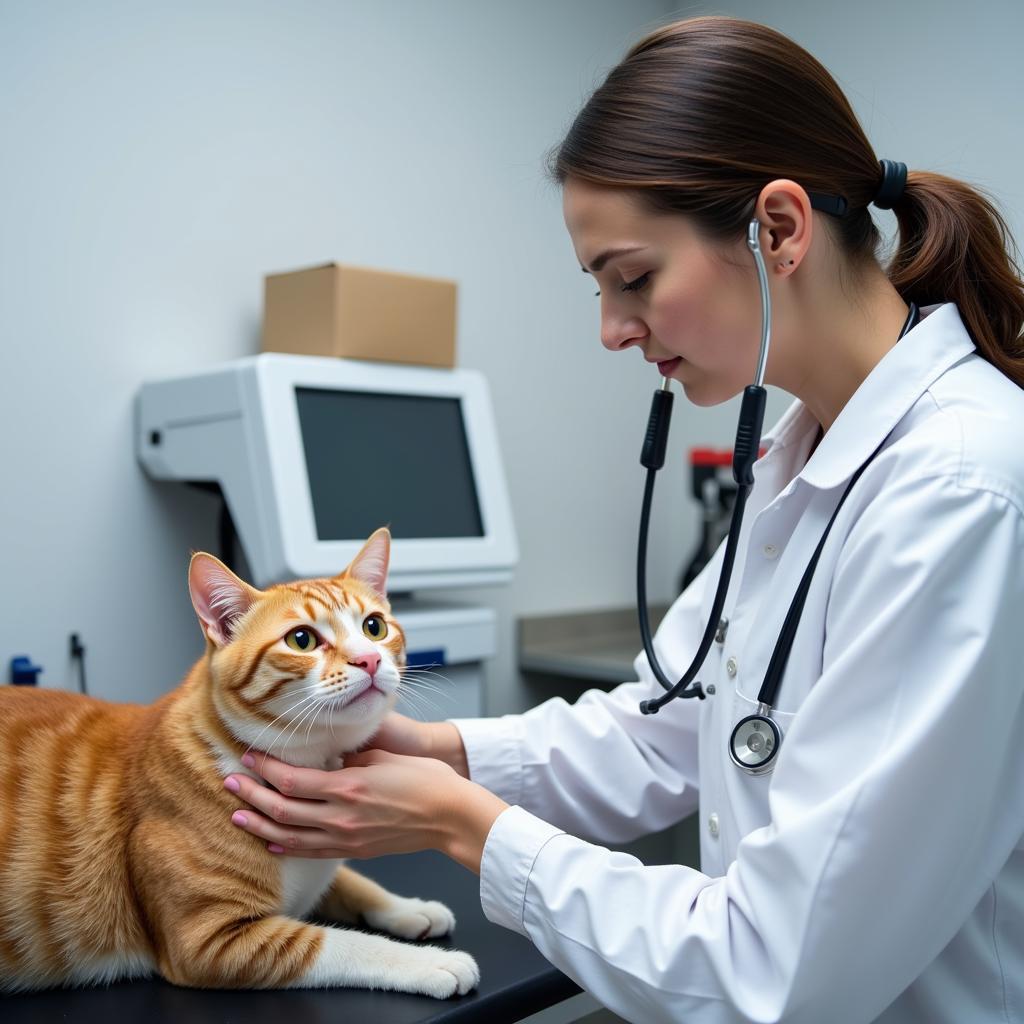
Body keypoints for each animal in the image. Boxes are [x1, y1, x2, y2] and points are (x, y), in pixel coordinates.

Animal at [0, 532, 477, 995]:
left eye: (374, 627)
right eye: (301, 640)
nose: (371, 659)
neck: (314, 759)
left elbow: (350, 880)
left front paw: (409, 908)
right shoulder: (207, 941)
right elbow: (340, 943)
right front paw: (430, 962)